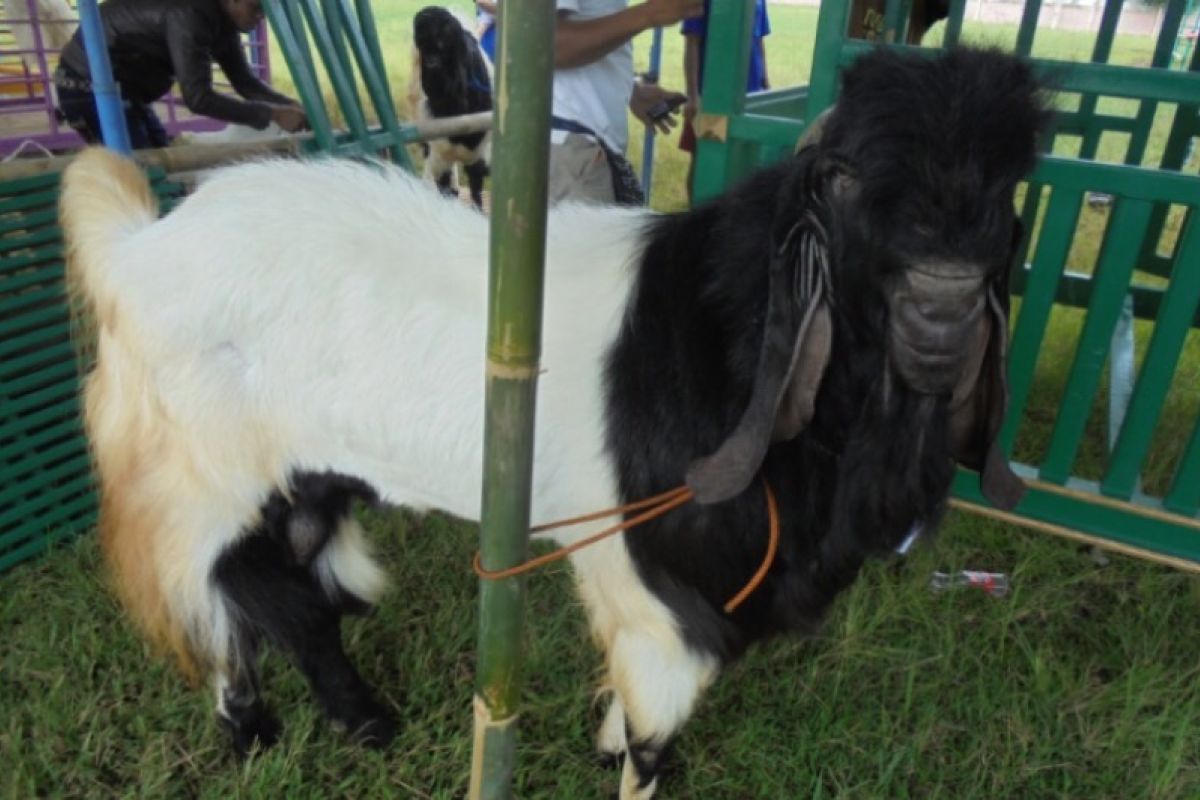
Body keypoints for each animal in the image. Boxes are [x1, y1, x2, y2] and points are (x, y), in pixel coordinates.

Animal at [63, 50, 1041, 800]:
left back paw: (363, 721)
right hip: (200, 475)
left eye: (1009, 188)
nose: (943, 310)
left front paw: (601, 741)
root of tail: (137, 247)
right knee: (216, 588)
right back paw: (250, 729)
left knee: (288, 595)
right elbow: (655, 727)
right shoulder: (648, 581)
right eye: (842, 178)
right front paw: (622, 757)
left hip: (306, 479)